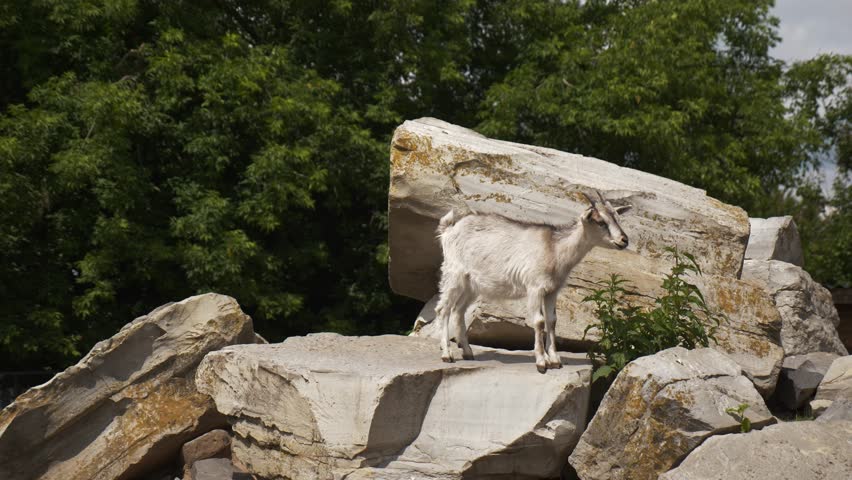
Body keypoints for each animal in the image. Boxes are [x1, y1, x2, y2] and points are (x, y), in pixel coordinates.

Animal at [434, 191, 632, 372]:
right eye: (600, 222)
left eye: (617, 219)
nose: (624, 240)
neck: (555, 249)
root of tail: (448, 229)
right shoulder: (535, 288)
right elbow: (539, 321)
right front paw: (542, 362)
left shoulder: (552, 290)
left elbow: (552, 321)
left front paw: (555, 360)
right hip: (454, 274)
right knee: (443, 309)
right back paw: (447, 354)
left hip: (472, 284)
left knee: (458, 310)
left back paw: (468, 352)